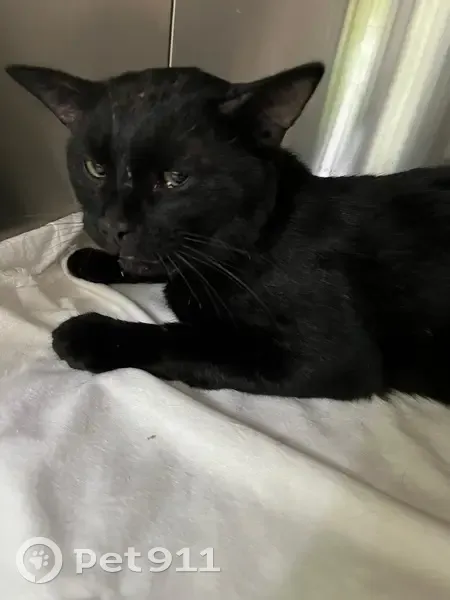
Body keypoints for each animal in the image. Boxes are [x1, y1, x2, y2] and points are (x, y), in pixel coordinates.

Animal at [6, 61, 450, 404]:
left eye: (175, 179)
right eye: (95, 168)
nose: (113, 226)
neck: (259, 241)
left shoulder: (333, 357)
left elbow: (191, 340)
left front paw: (93, 334)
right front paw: (94, 262)